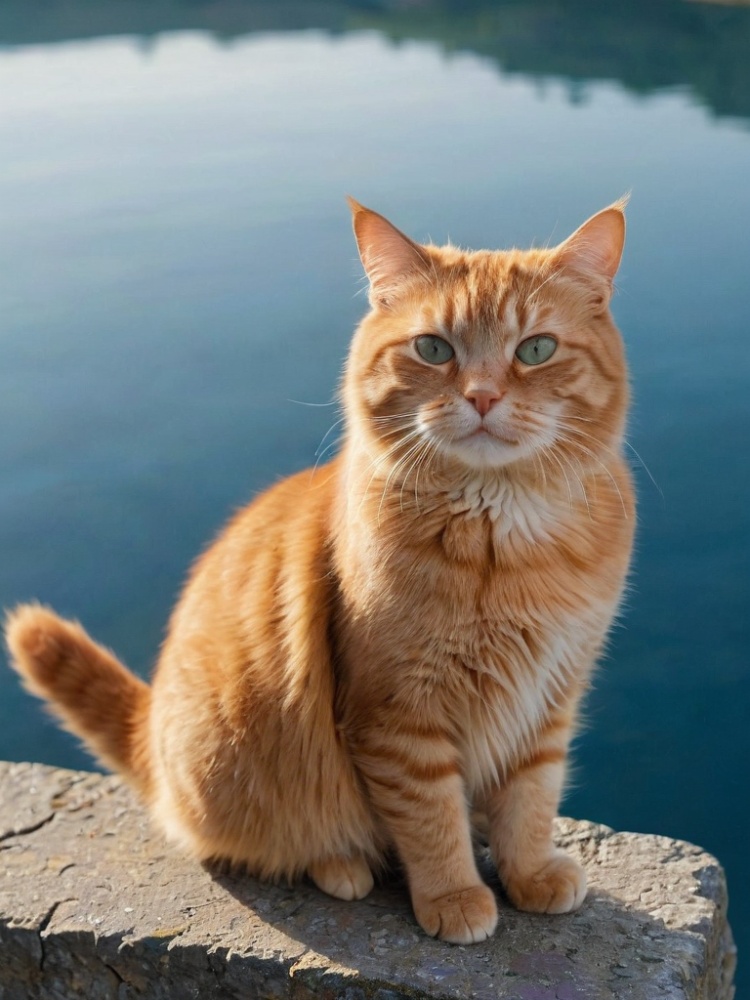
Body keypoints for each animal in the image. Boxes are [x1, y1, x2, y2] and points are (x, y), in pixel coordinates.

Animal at [4, 197, 636, 944]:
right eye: (434, 349)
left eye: (536, 349)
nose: (482, 397)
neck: (505, 536)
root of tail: (152, 736)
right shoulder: (398, 719)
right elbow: (431, 818)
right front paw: (455, 895)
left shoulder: (549, 697)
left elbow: (531, 797)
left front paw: (530, 872)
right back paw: (340, 865)